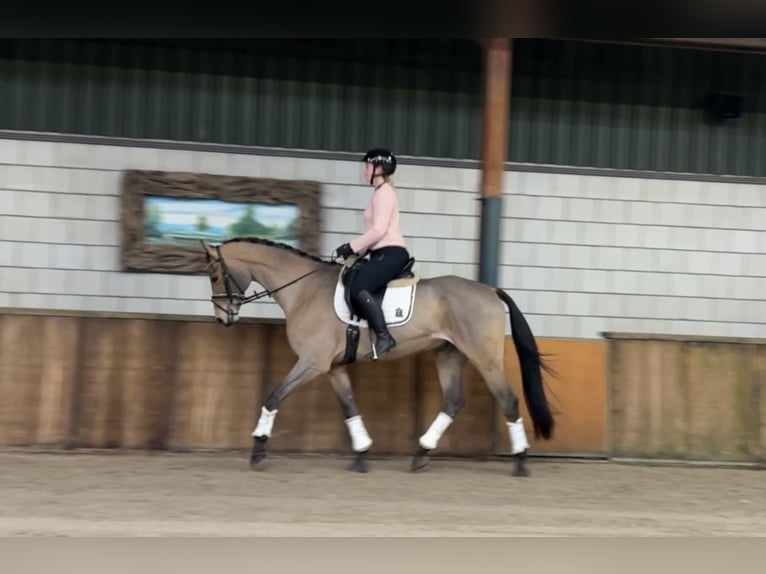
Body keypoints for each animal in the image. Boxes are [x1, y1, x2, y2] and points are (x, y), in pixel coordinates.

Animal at [201, 236, 556, 480]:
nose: (222, 318)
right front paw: (361, 454)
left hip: (485, 359)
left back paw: (520, 461)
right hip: (449, 355)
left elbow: (274, 396)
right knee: (453, 401)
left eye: (215, 274)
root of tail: (490, 290)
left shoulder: (312, 362)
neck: (305, 290)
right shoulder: (332, 368)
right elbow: (349, 407)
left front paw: (258, 449)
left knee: (508, 400)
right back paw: (421, 454)